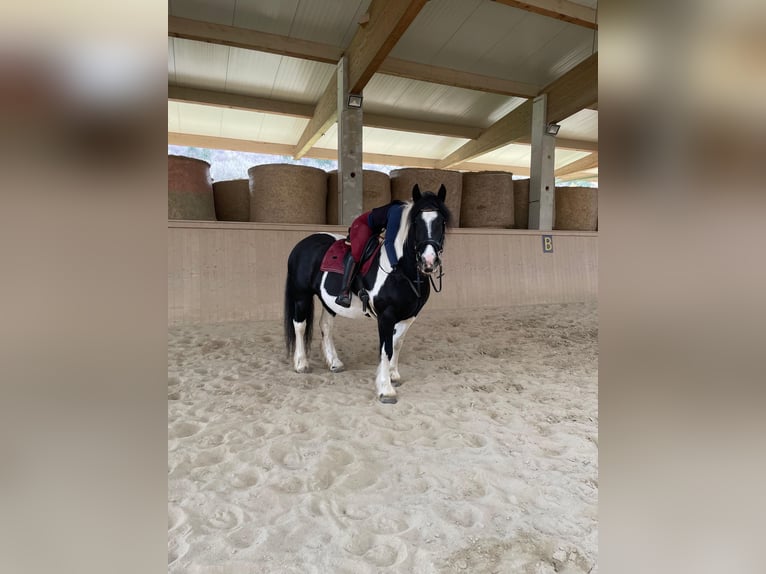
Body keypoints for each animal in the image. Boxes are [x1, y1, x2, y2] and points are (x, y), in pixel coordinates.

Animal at [284, 184, 452, 404]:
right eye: (416, 222)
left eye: (441, 222)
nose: (429, 261)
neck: (401, 271)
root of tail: (301, 244)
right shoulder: (386, 316)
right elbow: (386, 348)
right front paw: (385, 389)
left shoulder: (409, 316)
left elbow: (397, 344)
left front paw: (393, 375)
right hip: (301, 295)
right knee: (300, 326)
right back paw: (301, 364)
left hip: (328, 302)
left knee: (326, 326)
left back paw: (334, 362)